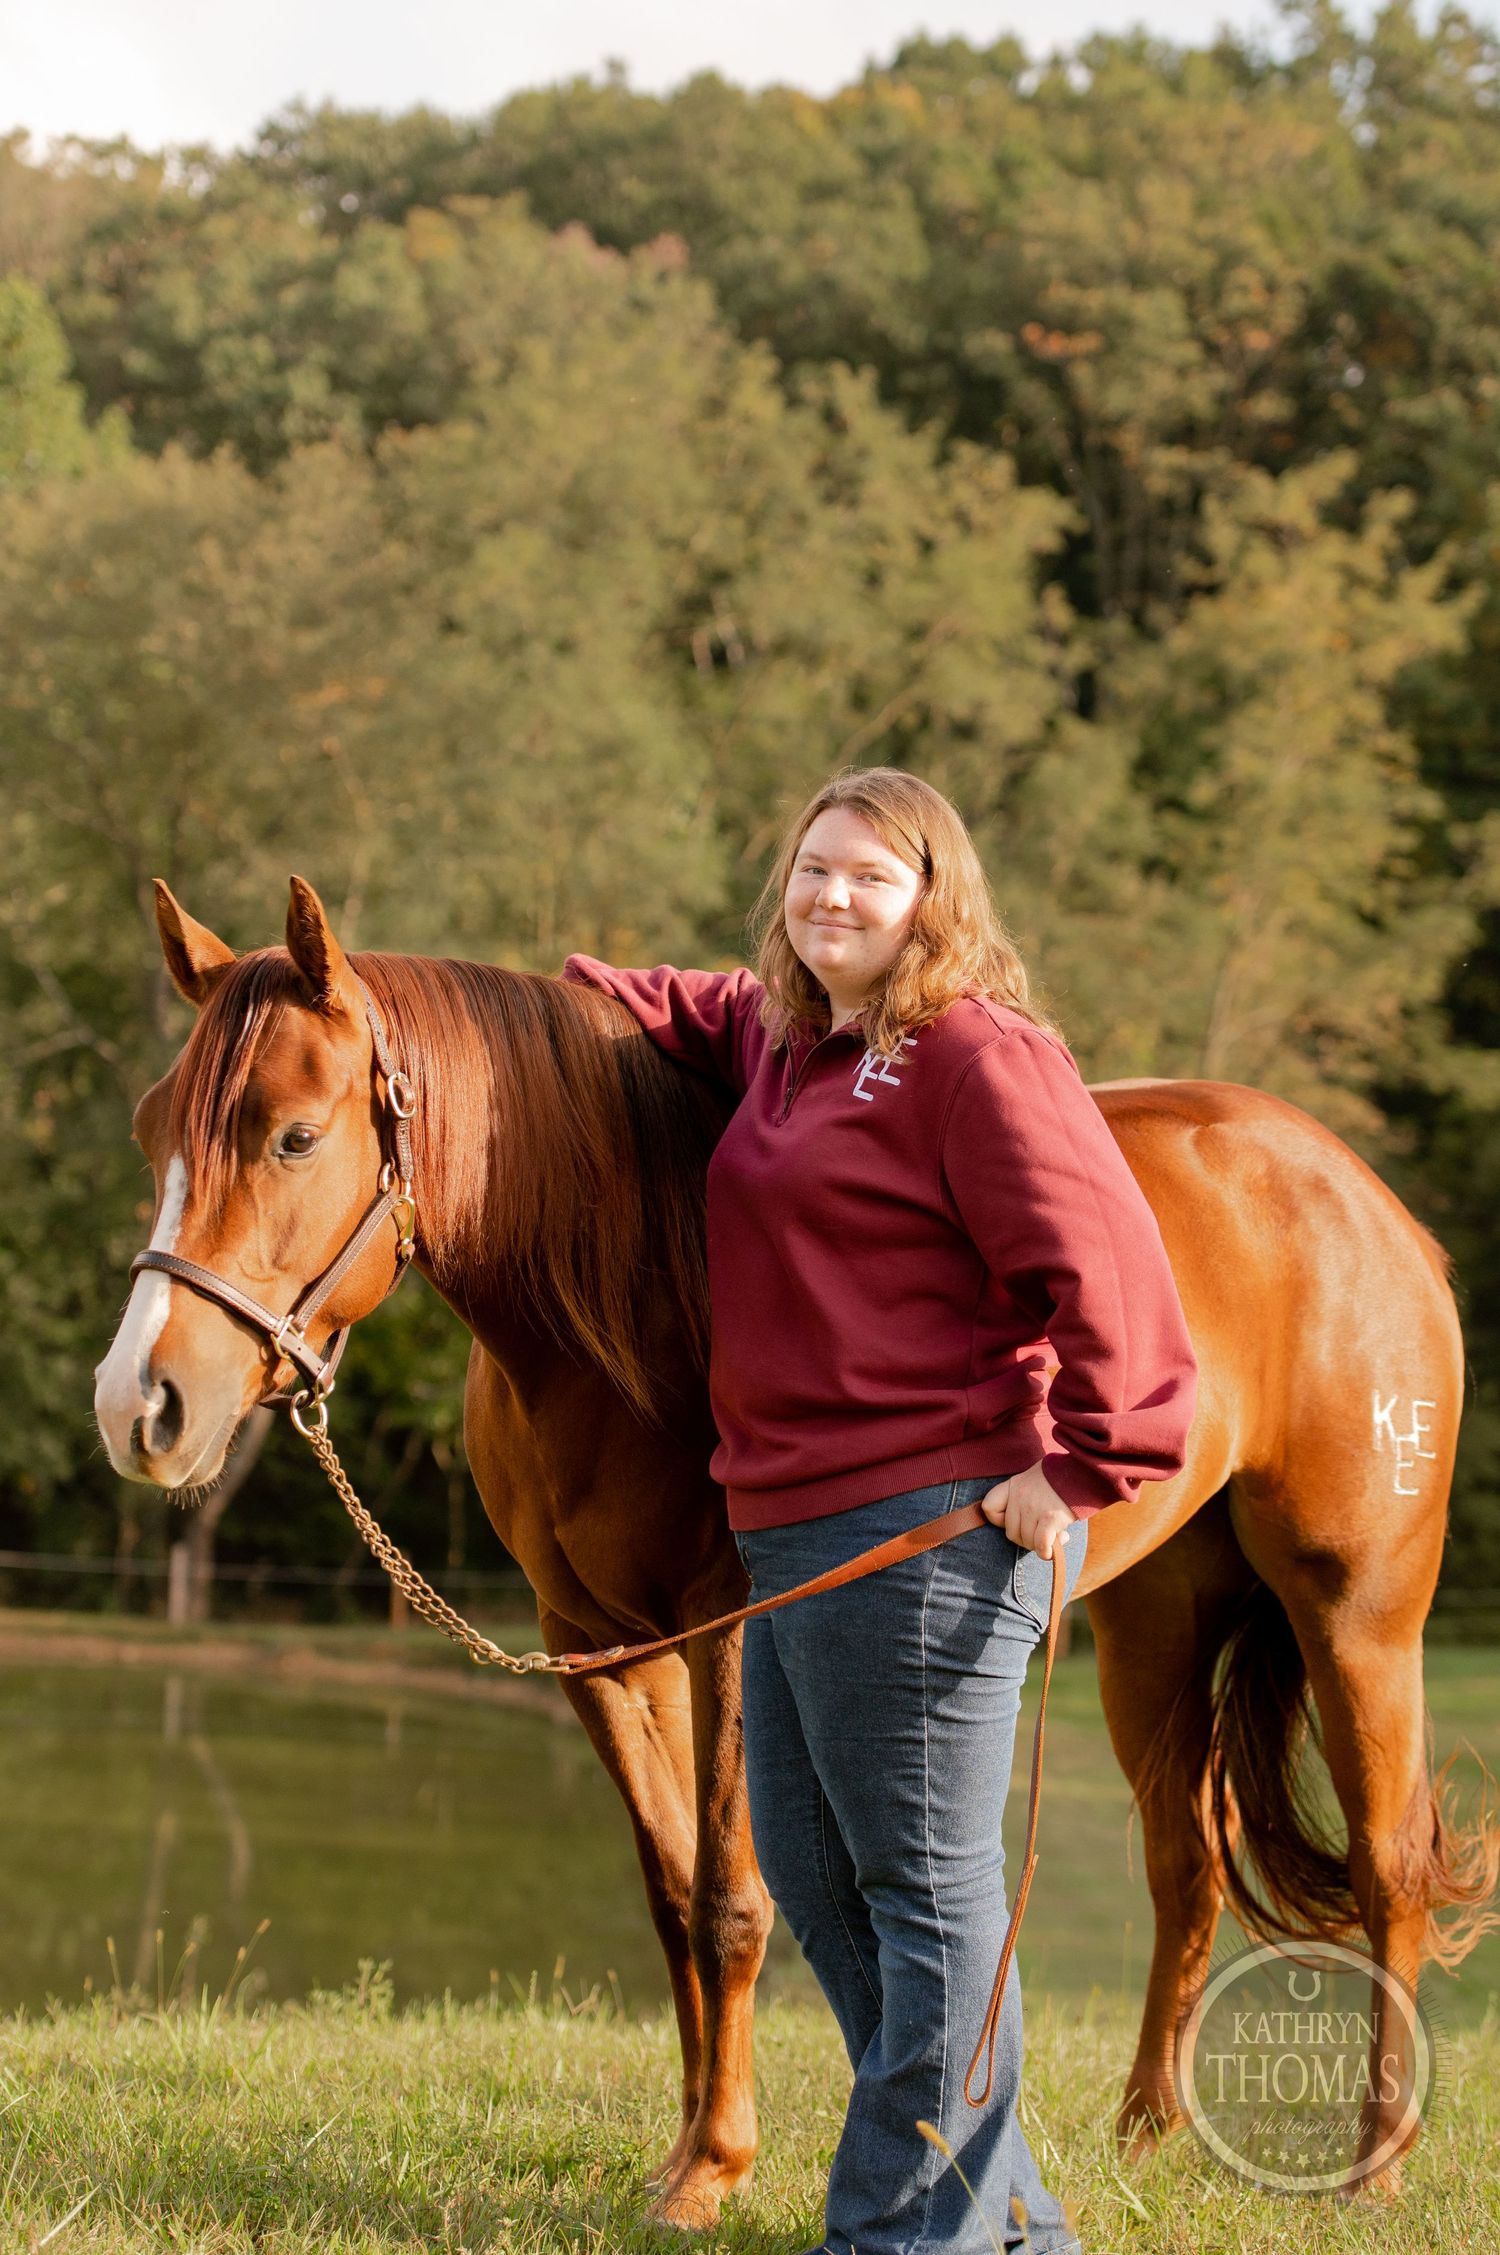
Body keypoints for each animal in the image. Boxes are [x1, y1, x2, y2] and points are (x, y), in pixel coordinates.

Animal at [93, 876, 1498, 2222]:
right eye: (152, 1132)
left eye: (294, 1134)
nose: (139, 1405)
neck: (615, 1309)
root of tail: (1366, 1201)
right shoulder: (596, 1645)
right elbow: (672, 1895)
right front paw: (684, 2143)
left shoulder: (732, 1628)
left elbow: (731, 1897)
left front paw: (713, 2165)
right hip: (1154, 1623)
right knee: (1186, 1862)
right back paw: (1145, 2134)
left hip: (1357, 1613)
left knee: (1385, 1866)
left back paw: (1375, 2161)